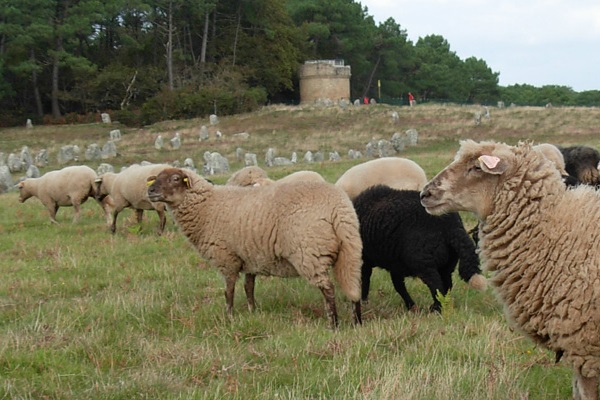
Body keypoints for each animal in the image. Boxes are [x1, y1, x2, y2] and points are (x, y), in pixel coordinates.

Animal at [148, 167, 364, 326]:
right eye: (156, 178)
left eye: (175, 178)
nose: (150, 191)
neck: (207, 207)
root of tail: (339, 208)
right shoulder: (250, 257)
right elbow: (249, 288)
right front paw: (253, 312)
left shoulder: (226, 258)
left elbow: (229, 291)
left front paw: (229, 318)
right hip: (350, 250)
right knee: (354, 285)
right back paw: (356, 322)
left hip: (309, 253)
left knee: (328, 289)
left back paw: (333, 324)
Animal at [354, 185, 486, 312]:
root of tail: (452, 227)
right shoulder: (395, 263)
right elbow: (398, 285)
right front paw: (411, 306)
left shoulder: (365, 260)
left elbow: (366, 280)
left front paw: (363, 301)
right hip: (447, 263)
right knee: (446, 285)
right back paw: (442, 305)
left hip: (423, 263)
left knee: (436, 285)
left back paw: (435, 309)